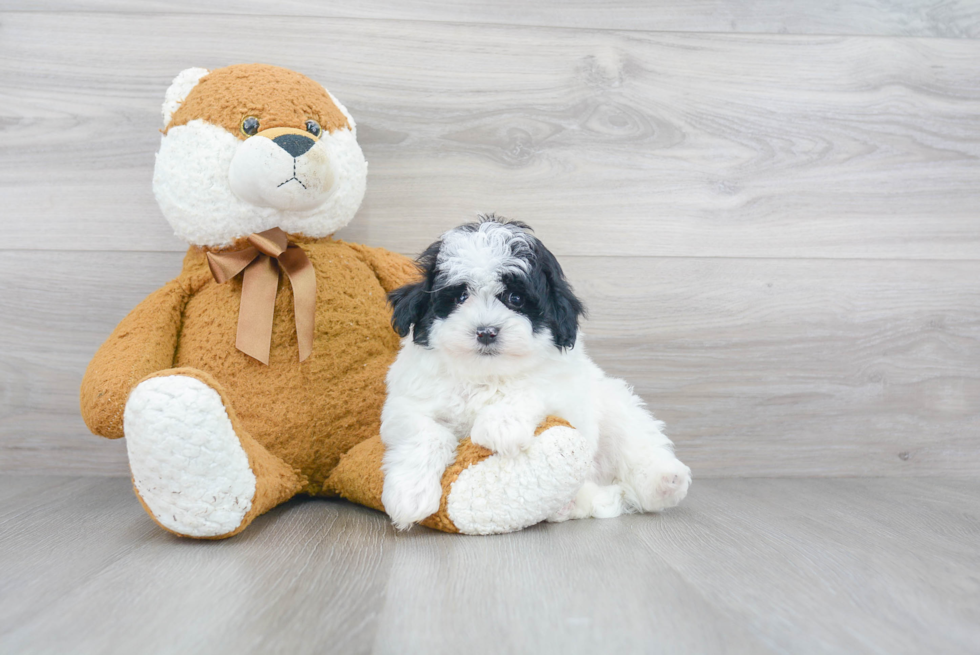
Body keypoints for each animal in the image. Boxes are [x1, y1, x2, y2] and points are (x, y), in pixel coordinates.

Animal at [376, 218, 688, 532]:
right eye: (461, 296)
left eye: (515, 298)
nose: (486, 331)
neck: (486, 375)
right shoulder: (406, 404)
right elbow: (426, 433)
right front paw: (410, 494)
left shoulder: (565, 386)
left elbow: (531, 387)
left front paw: (501, 425)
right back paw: (567, 506)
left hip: (616, 408)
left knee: (636, 446)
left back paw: (665, 481)